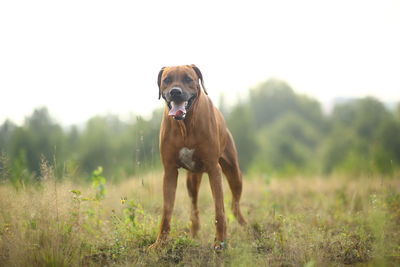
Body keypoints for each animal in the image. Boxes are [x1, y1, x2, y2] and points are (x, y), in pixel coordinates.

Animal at [149, 65, 245, 251]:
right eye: (167, 80)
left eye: (188, 79)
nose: (175, 92)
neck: (185, 125)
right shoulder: (169, 171)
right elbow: (167, 210)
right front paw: (160, 244)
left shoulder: (214, 169)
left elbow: (219, 210)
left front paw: (220, 242)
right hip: (192, 179)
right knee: (194, 207)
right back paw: (194, 233)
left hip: (234, 172)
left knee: (234, 205)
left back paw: (246, 227)